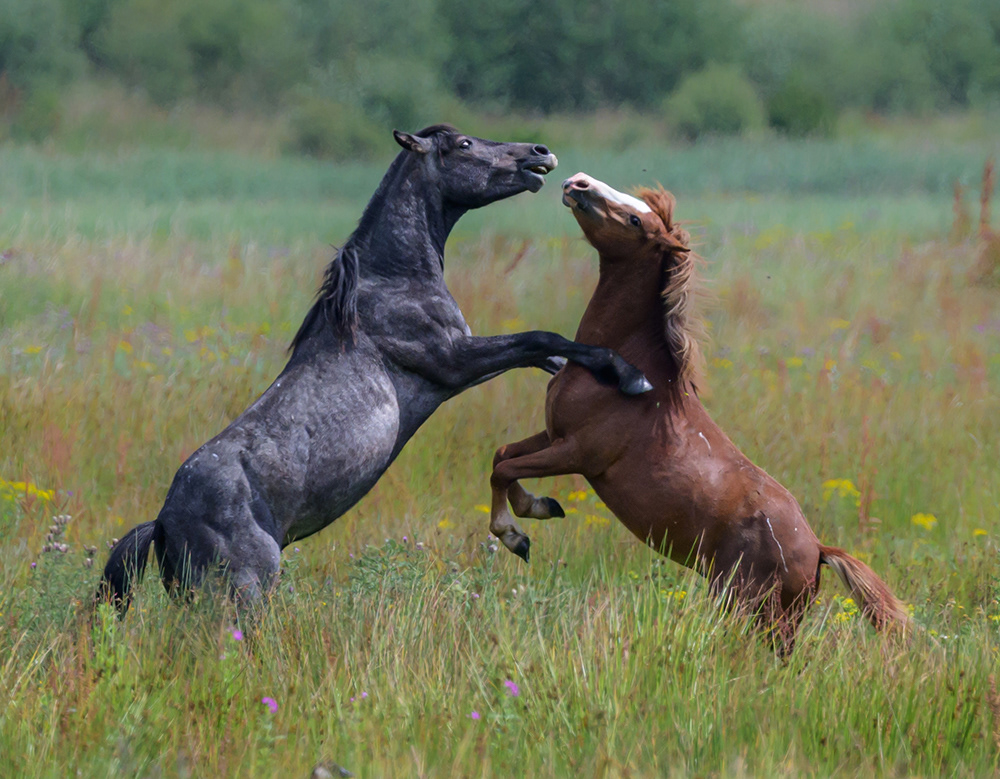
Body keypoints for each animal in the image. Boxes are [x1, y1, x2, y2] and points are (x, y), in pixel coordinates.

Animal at [97, 127, 652, 614]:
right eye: (464, 144)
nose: (539, 154)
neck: (388, 280)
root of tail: (163, 522)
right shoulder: (453, 360)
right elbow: (542, 339)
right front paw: (630, 376)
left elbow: (547, 356)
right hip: (242, 593)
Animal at [487, 172, 910, 652]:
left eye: (636, 219)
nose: (577, 183)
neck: (624, 372)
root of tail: (818, 550)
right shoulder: (552, 435)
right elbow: (503, 457)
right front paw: (537, 509)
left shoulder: (577, 453)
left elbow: (503, 471)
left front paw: (515, 534)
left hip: (752, 609)